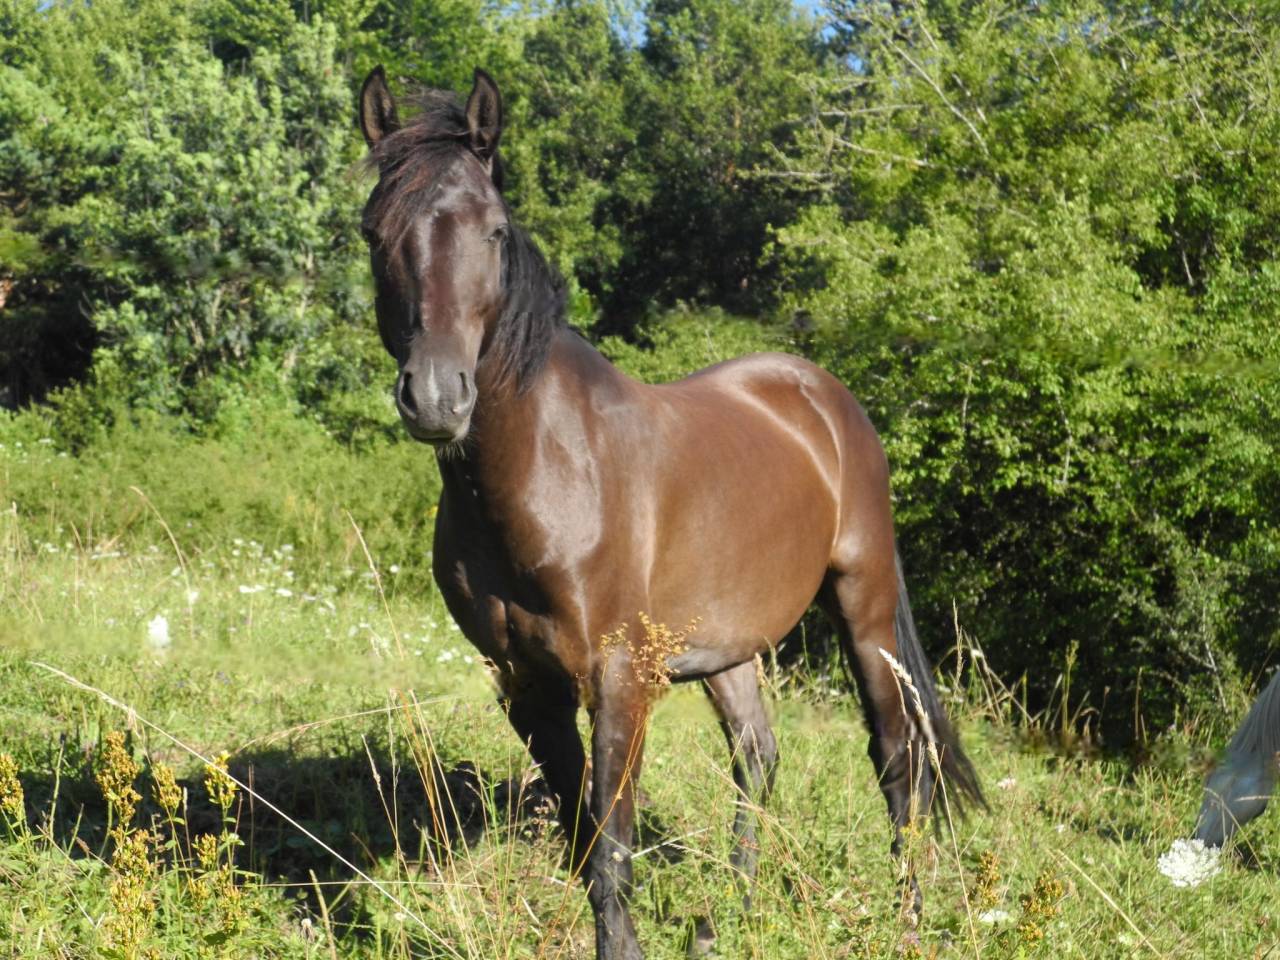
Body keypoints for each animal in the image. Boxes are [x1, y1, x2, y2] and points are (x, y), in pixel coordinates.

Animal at [357, 65, 982, 960]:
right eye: (374, 231)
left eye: (494, 231)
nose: (437, 399)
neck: (548, 471)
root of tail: (825, 398)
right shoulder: (526, 686)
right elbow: (585, 841)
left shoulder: (621, 680)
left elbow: (612, 851)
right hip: (727, 644)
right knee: (757, 754)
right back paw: (736, 914)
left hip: (863, 604)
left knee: (897, 755)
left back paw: (909, 918)